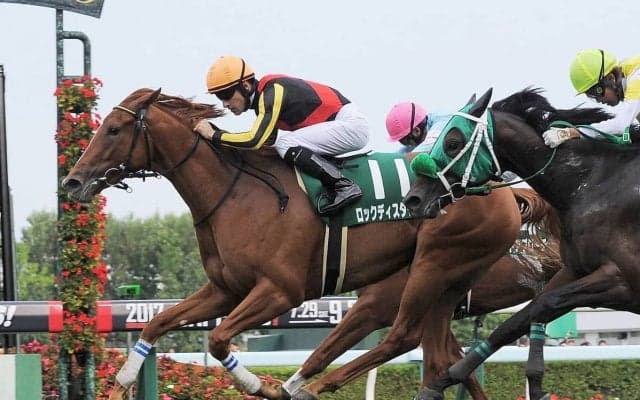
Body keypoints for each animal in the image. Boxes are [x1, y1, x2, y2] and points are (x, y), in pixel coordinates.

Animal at [61, 88, 521, 400]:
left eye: (113, 129)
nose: (73, 181)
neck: (237, 191)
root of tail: (498, 189)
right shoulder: (225, 290)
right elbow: (156, 323)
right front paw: (121, 383)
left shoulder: (280, 291)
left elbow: (218, 339)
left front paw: (260, 385)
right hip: (446, 281)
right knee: (438, 353)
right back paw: (301, 383)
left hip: (431, 265)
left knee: (404, 337)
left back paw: (300, 385)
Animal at [403, 87, 640, 400]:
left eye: (452, 142)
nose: (413, 199)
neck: (591, 185)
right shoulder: (573, 271)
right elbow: (516, 321)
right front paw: (441, 382)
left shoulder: (623, 281)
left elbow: (544, 304)